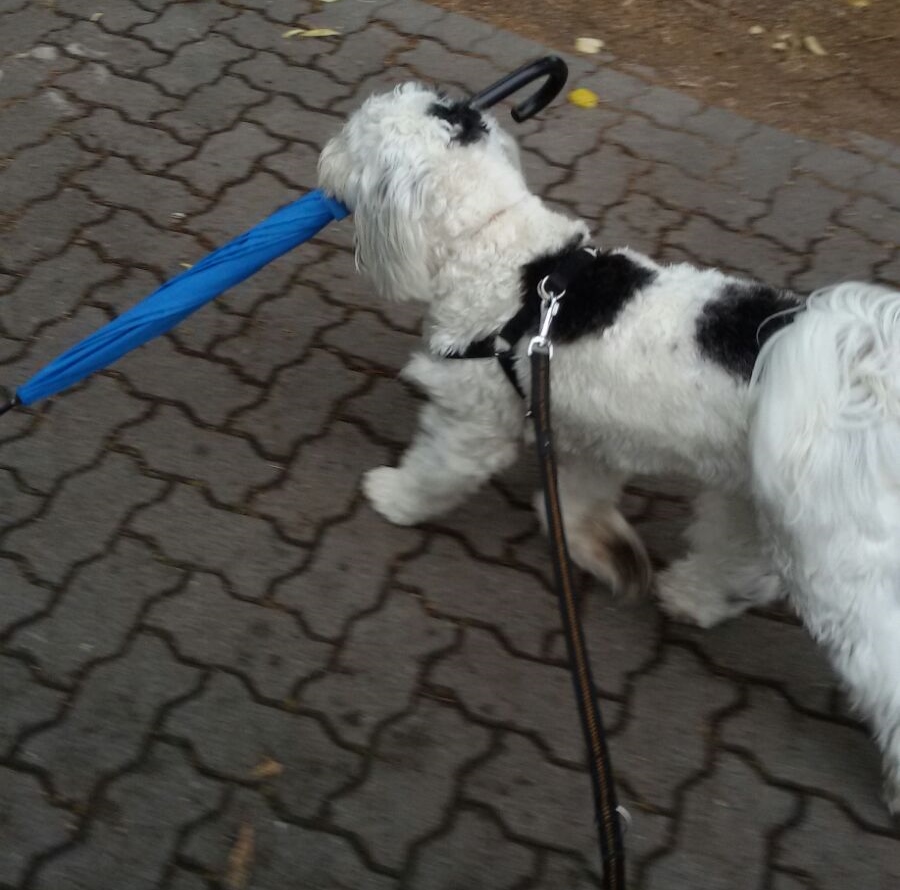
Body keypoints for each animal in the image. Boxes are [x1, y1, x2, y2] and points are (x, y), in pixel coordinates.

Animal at [318, 82, 900, 813]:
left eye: (351, 137)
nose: (319, 162)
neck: (504, 253)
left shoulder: (474, 420)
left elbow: (438, 470)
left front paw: (394, 496)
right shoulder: (590, 432)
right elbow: (572, 503)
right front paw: (604, 550)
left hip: (842, 555)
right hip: (756, 489)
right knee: (745, 561)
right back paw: (692, 596)